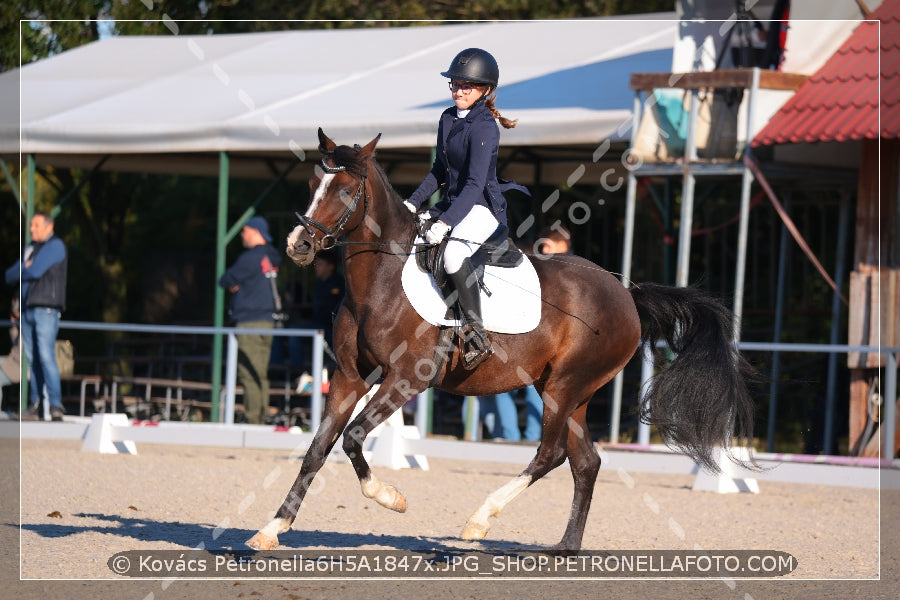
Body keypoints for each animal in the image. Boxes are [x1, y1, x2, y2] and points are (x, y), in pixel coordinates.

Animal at [248, 129, 760, 552]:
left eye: (344, 190)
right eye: (312, 184)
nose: (298, 245)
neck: (380, 280)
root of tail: (625, 294)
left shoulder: (406, 379)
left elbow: (353, 438)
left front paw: (391, 498)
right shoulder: (349, 377)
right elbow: (317, 449)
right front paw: (271, 529)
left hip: (564, 387)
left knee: (551, 454)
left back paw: (479, 521)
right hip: (569, 392)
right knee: (586, 462)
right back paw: (565, 547)